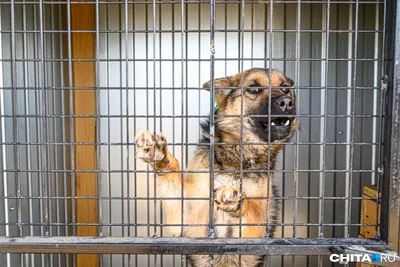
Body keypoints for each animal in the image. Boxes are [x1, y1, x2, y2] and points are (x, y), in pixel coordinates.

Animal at [136, 68, 296, 267]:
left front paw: (235, 198)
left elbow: (253, 208)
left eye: (285, 88)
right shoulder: (186, 216)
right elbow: (173, 176)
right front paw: (160, 153)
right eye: (254, 88)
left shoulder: (257, 230)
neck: (236, 159)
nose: (287, 102)